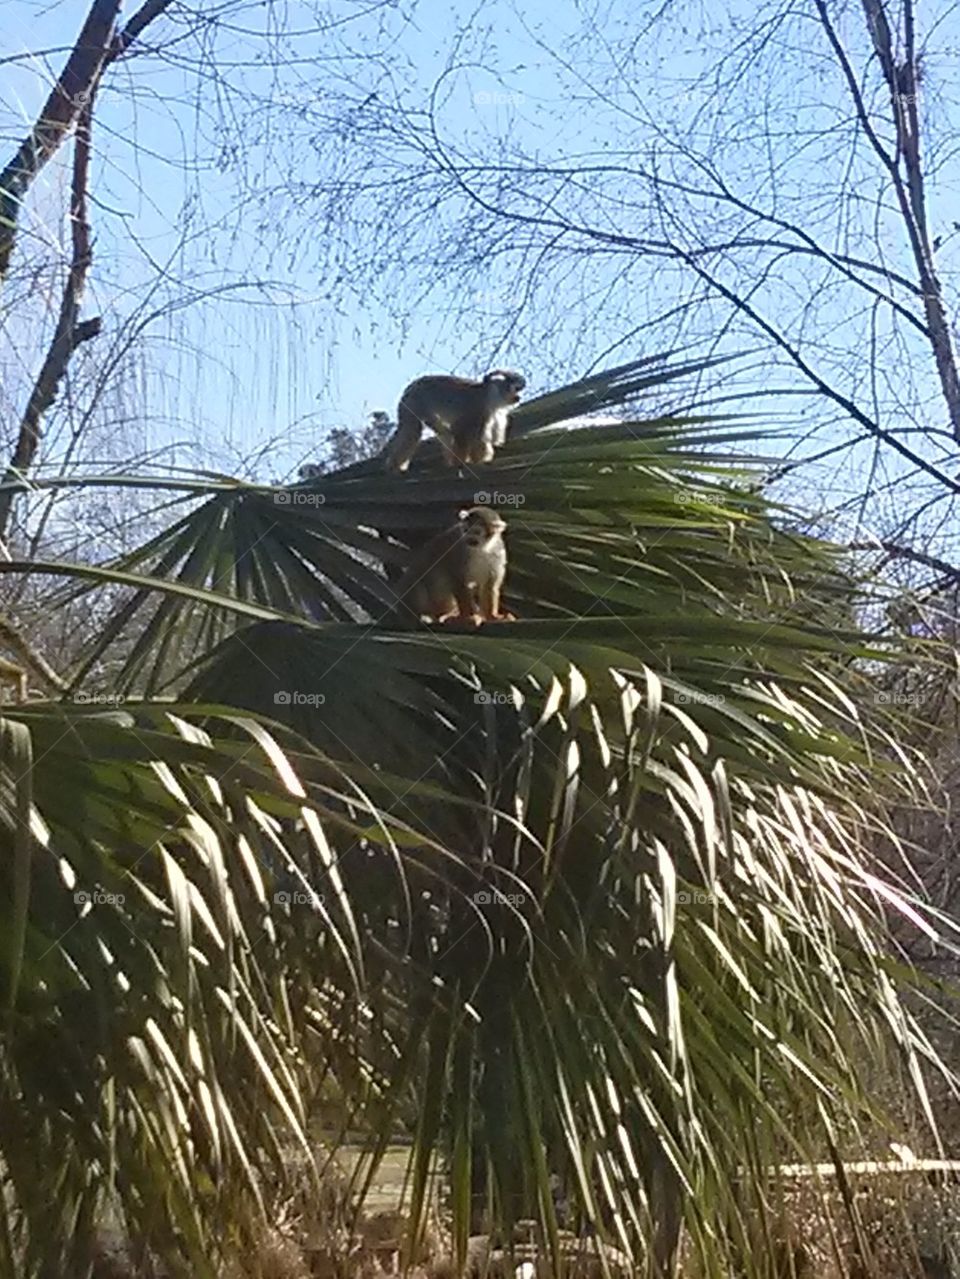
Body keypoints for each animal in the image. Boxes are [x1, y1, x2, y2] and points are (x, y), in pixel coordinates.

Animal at [384, 370, 526, 473]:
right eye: (513, 388)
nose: (518, 397)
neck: (490, 396)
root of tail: (409, 388)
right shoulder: (478, 408)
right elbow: (461, 430)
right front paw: (470, 461)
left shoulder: (494, 413)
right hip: (415, 402)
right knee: (414, 430)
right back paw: (394, 466)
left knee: (442, 432)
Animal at [386, 506, 514, 626]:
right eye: (466, 530)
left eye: (476, 532)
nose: (469, 539)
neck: (483, 548)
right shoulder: (458, 548)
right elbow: (458, 581)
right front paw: (468, 616)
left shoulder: (498, 553)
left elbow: (490, 585)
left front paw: (492, 616)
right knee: (417, 581)